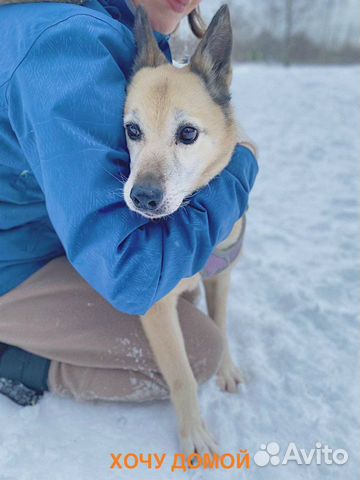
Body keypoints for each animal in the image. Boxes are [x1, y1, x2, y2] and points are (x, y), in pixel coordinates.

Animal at [123, 5, 256, 456]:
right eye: (132, 130)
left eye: (188, 133)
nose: (142, 197)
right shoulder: (157, 307)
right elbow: (181, 373)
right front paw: (194, 434)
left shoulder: (222, 274)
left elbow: (221, 323)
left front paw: (227, 369)